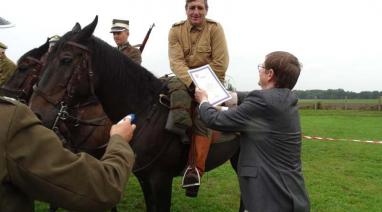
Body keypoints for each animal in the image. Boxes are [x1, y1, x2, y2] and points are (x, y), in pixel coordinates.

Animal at [29, 16, 240, 212]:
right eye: (43, 63)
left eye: (66, 59)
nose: (36, 113)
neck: (146, 113)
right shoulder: (144, 179)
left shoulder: (160, 180)